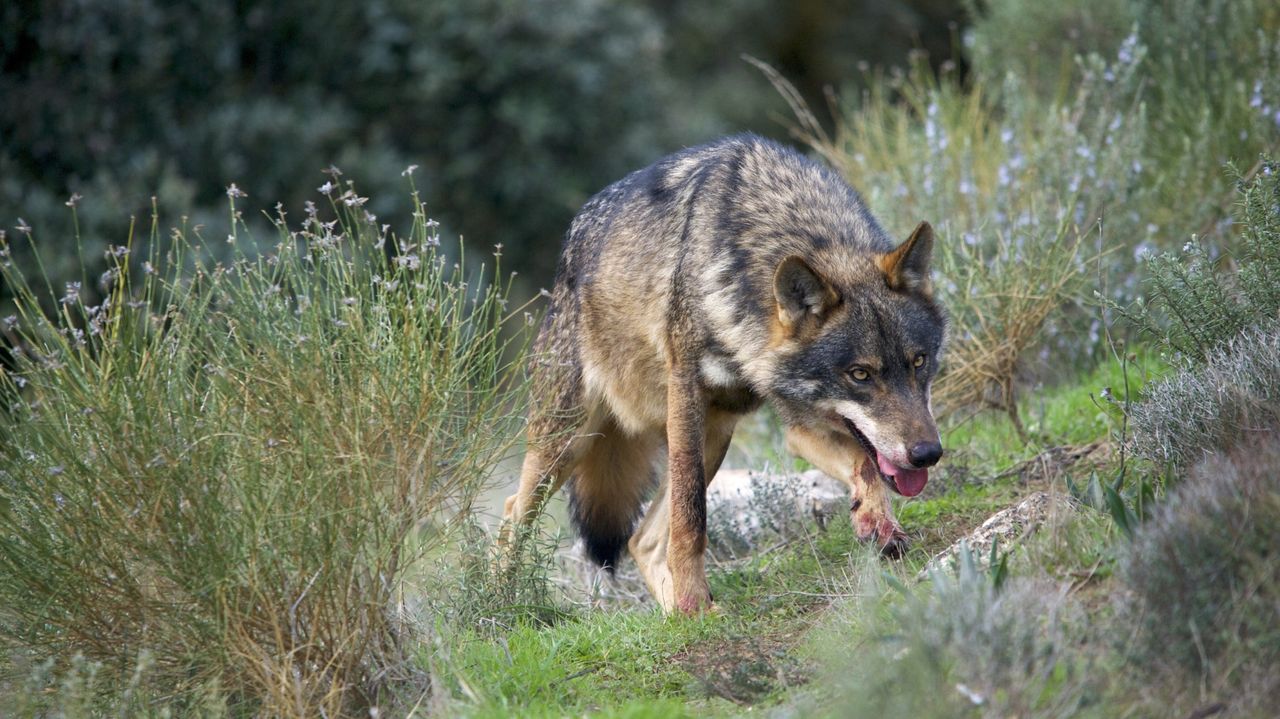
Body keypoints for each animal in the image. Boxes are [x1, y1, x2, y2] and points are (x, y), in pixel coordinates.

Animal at [504, 133, 947, 608]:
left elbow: (865, 464)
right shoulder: (686, 393)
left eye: (919, 361)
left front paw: (877, 523)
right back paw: (502, 600)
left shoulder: (799, 423)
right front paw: (693, 600)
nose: (927, 454)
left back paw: (679, 614)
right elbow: (691, 519)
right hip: (569, 442)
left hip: (715, 434)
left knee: (642, 541)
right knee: (513, 515)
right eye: (860, 374)